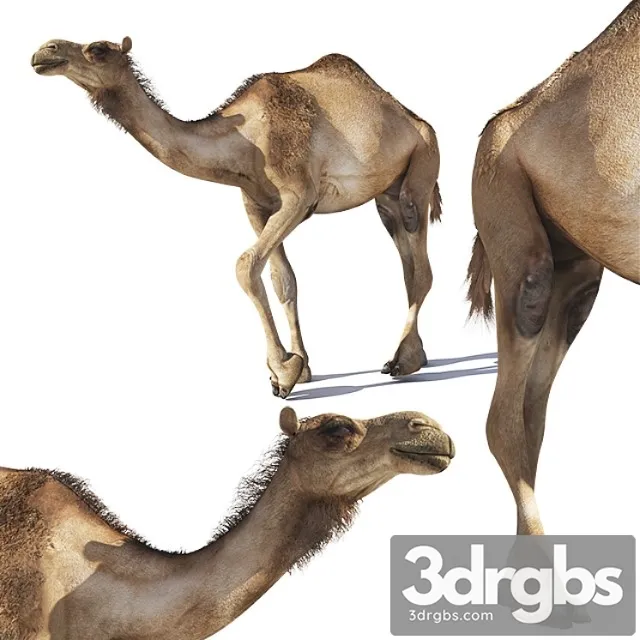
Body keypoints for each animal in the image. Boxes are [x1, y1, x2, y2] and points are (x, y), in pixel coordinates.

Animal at [31, 38, 442, 399]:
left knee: (421, 268)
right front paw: (303, 366)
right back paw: (417, 356)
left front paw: (282, 373)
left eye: (98, 49)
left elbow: (245, 265)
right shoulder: (256, 203)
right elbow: (284, 281)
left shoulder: (299, 195)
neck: (245, 138)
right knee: (408, 266)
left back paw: (403, 361)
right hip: (387, 196)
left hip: (422, 166)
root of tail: (415, 118)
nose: (44, 51)